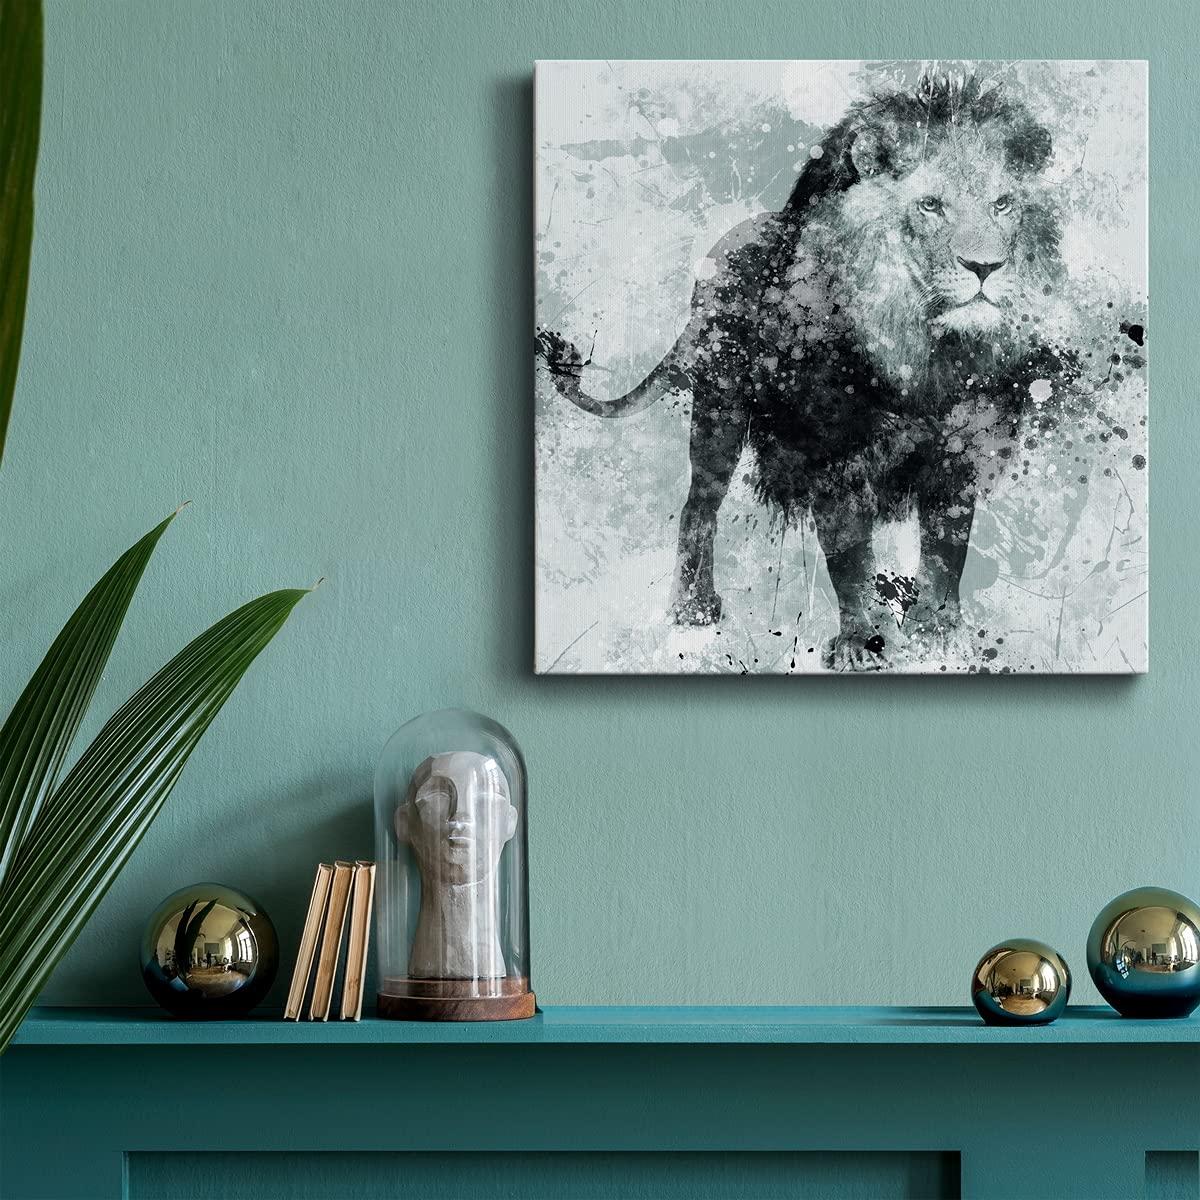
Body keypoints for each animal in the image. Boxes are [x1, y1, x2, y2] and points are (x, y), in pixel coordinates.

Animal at [536, 73, 1075, 670]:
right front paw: (861, 642)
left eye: (1003, 204)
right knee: (697, 505)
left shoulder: (961, 453)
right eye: (931, 206)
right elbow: (848, 557)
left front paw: (941, 634)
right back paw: (692, 609)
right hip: (719, 408)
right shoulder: (835, 453)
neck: (926, 352)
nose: (986, 267)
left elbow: (946, 551)